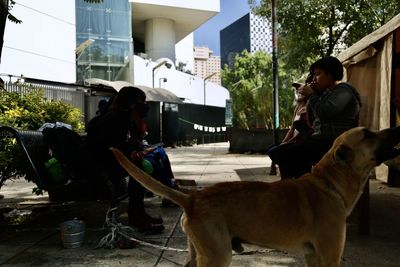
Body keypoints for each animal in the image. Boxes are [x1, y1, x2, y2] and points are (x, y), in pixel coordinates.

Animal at [111, 127, 400, 267]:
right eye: (367, 134)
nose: (396, 127)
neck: (330, 183)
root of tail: (193, 198)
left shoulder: (313, 257)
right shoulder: (329, 256)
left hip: (199, 254)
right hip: (217, 256)